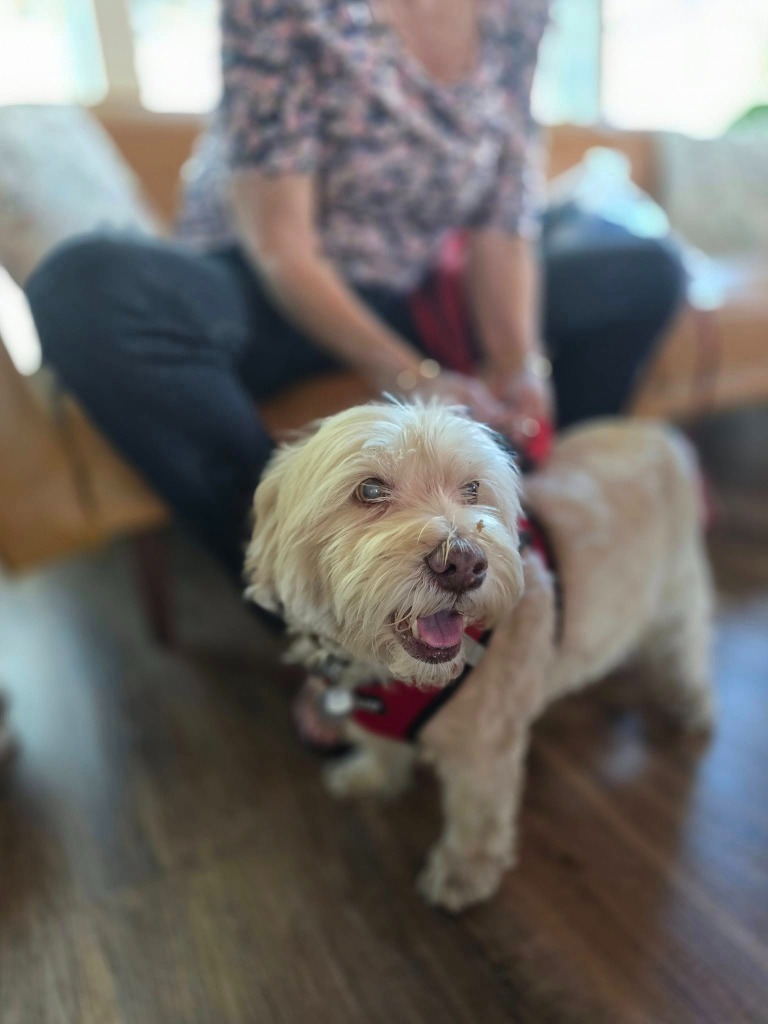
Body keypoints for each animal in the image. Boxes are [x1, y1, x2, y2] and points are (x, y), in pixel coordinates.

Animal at [246, 399, 716, 913]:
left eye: (472, 489)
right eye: (369, 490)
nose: (464, 563)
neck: (397, 674)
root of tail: (656, 431)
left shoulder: (486, 750)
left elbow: (478, 816)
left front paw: (462, 873)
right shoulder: (372, 713)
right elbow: (381, 748)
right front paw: (371, 776)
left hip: (677, 592)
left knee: (687, 645)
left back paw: (690, 701)